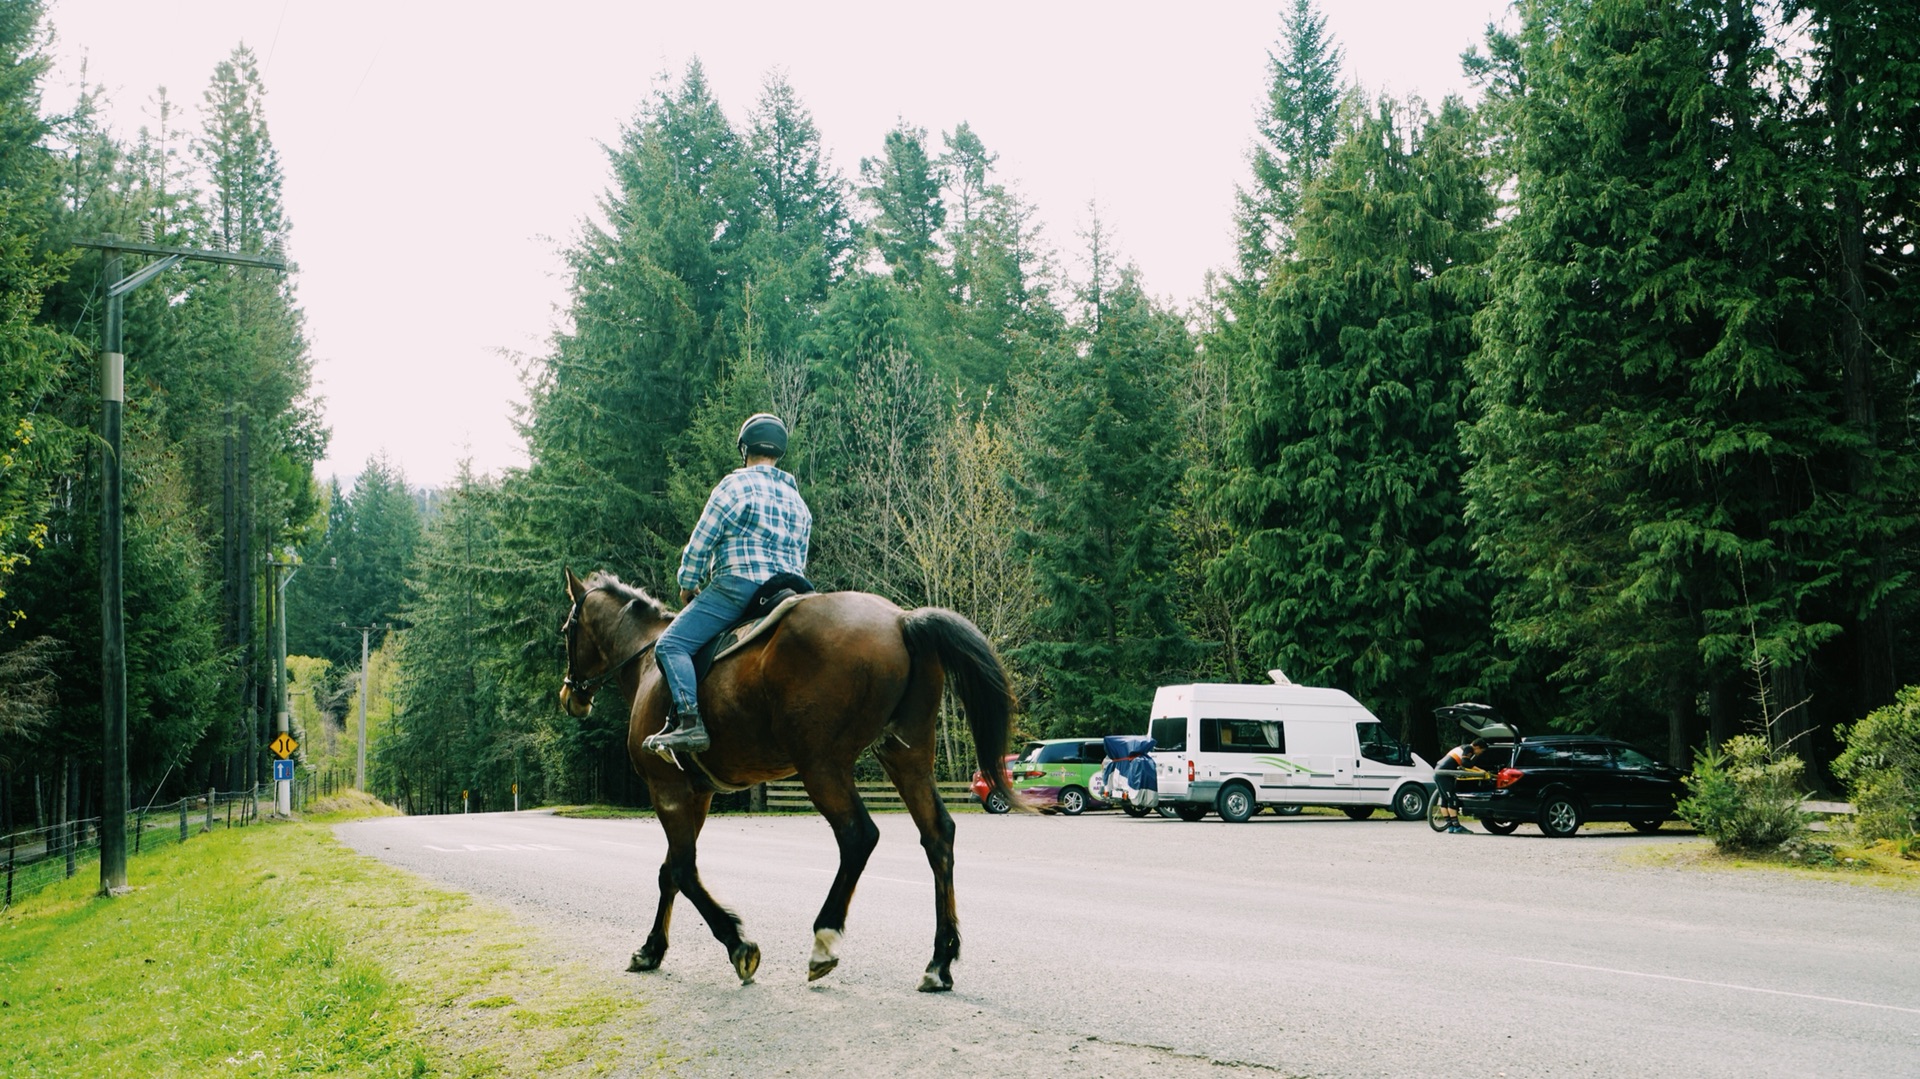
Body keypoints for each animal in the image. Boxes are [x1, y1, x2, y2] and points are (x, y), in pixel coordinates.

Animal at [556, 568, 1021, 990]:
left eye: (567, 629)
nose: (569, 695)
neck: (649, 661)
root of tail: (901, 621)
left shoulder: (667, 788)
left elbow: (684, 871)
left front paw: (737, 944)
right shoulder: (698, 794)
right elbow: (669, 871)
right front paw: (651, 950)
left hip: (821, 765)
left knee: (858, 836)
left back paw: (825, 940)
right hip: (906, 757)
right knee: (937, 835)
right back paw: (939, 961)